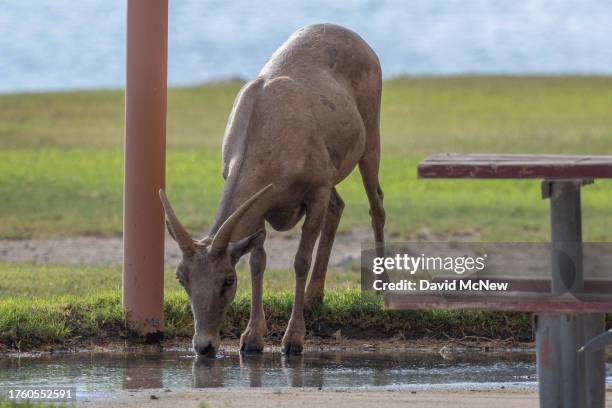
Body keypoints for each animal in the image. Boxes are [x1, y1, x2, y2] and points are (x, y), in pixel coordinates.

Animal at [160, 23, 384, 356]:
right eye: (181, 278)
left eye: (227, 280)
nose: (204, 345)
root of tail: (366, 45)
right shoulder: (263, 203)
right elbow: (257, 261)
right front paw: (252, 338)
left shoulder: (317, 186)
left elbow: (300, 259)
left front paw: (293, 340)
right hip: (334, 172)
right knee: (339, 206)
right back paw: (313, 297)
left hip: (370, 139)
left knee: (376, 204)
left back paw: (382, 288)